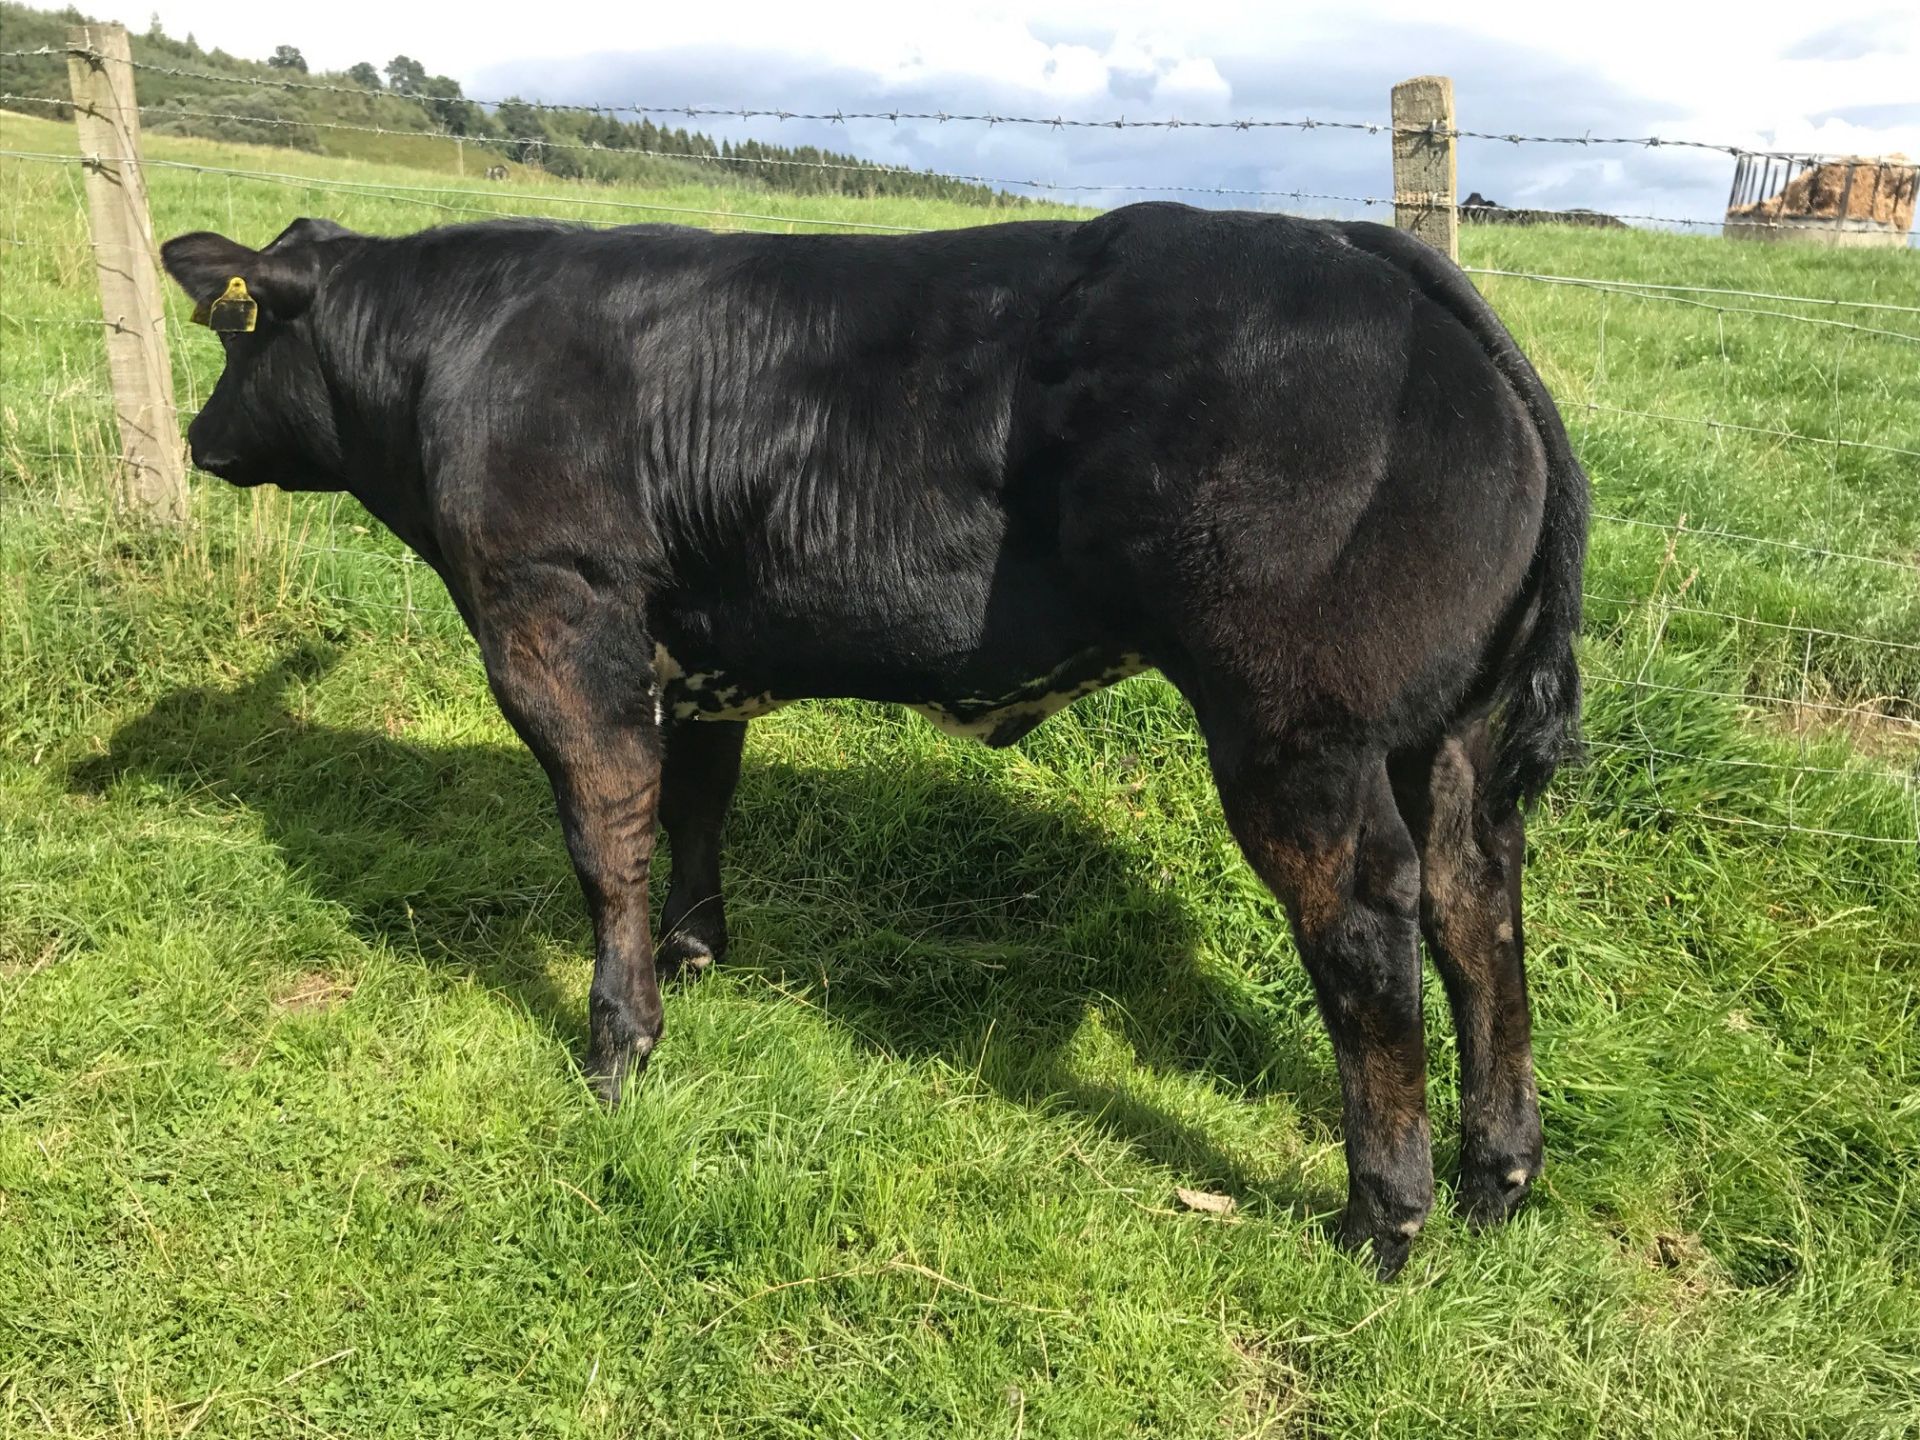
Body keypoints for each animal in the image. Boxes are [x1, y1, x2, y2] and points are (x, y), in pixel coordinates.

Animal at [157, 205, 1582, 1274]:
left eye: (232, 331)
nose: (196, 439)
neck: (463, 346)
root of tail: (1364, 246)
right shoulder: (699, 652)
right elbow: (698, 803)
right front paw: (697, 955)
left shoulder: (557, 618)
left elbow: (605, 835)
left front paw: (619, 1042)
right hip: (1449, 731)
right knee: (1476, 896)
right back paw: (1497, 1175)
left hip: (1296, 726)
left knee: (1367, 918)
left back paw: (1382, 1218)